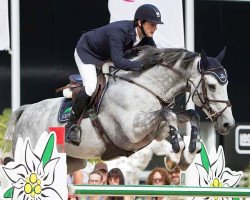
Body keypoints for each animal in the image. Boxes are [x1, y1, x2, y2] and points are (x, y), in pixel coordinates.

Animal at [4, 46, 234, 173]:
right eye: (212, 85)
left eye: (226, 84)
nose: (228, 124)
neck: (148, 86)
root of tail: (26, 110)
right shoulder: (132, 132)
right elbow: (167, 114)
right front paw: (176, 152)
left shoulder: (156, 131)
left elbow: (188, 115)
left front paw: (187, 155)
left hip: (72, 162)